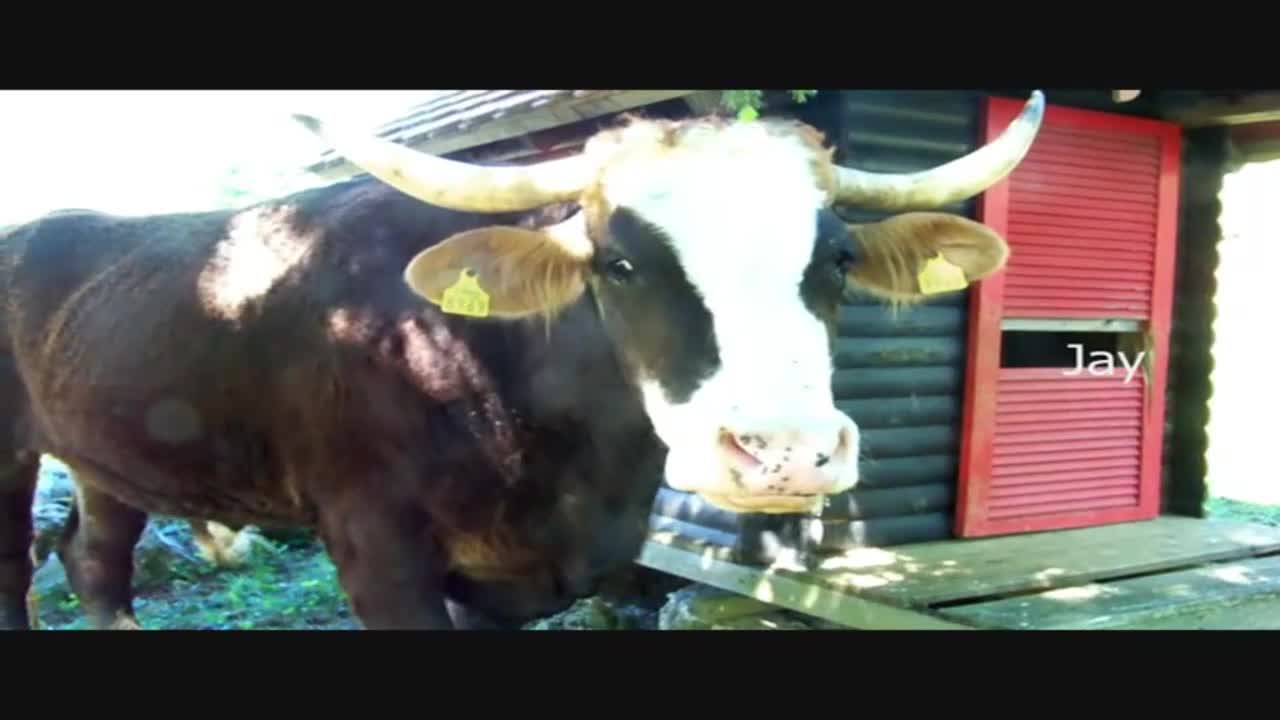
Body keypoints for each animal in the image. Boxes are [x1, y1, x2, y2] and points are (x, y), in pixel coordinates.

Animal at [0, 90, 1044, 630]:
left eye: (835, 259)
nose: (784, 452)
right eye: (620, 263)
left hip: (106, 454)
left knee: (96, 561)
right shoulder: (378, 550)